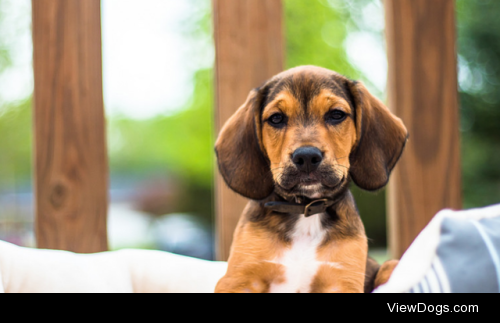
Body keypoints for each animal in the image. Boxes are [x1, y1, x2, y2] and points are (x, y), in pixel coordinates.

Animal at [214, 66, 406, 294]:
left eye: (336, 115)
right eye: (276, 118)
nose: (306, 157)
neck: (305, 211)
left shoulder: (343, 282)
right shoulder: (237, 280)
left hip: (390, 265)